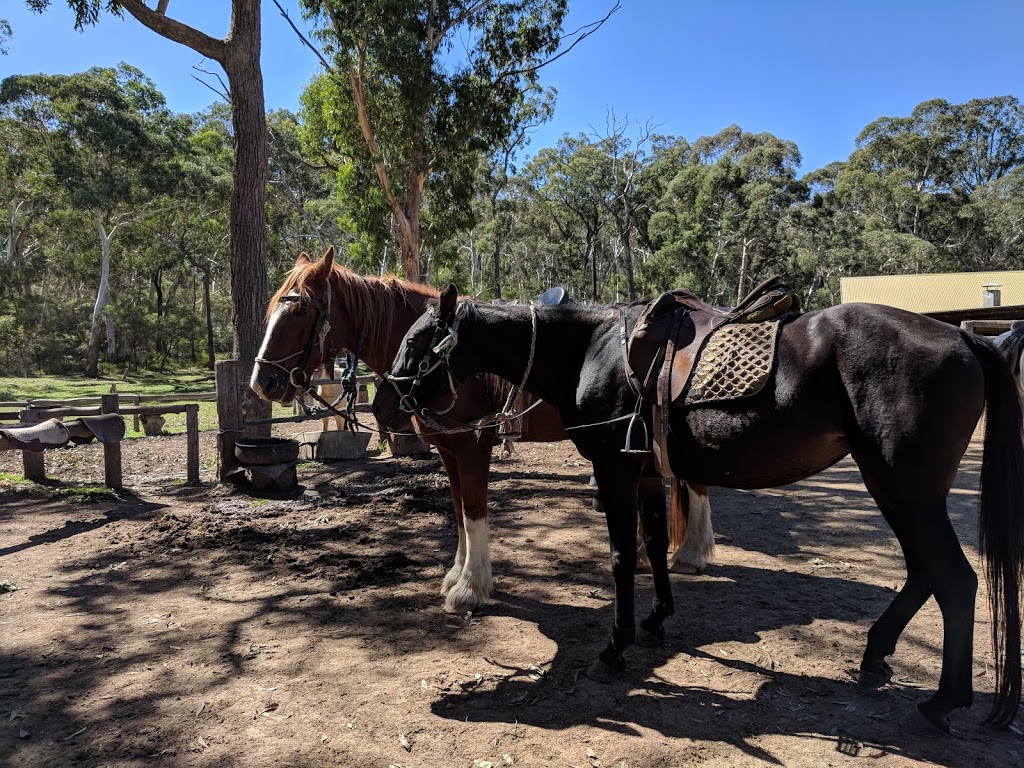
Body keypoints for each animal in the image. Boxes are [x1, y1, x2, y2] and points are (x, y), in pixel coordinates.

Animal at [249, 249, 712, 618]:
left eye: (300, 312)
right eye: (271, 309)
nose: (262, 382)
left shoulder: (473, 445)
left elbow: (473, 511)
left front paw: (471, 588)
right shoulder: (448, 450)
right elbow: (458, 512)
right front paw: (457, 574)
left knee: (697, 483)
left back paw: (692, 551)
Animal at [374, 286, 1024, 737]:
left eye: (417, 342)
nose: (383, 405)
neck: (593, 352)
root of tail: (965, 339)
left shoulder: (613, 471)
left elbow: (621, 556)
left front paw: (616, 647)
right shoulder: (643, 474)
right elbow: (654, 547)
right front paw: (658, 620)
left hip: (905, 487)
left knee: (955, 580)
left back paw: (940, 703)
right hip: (897, 487)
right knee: (925, 573)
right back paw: (875, 658)